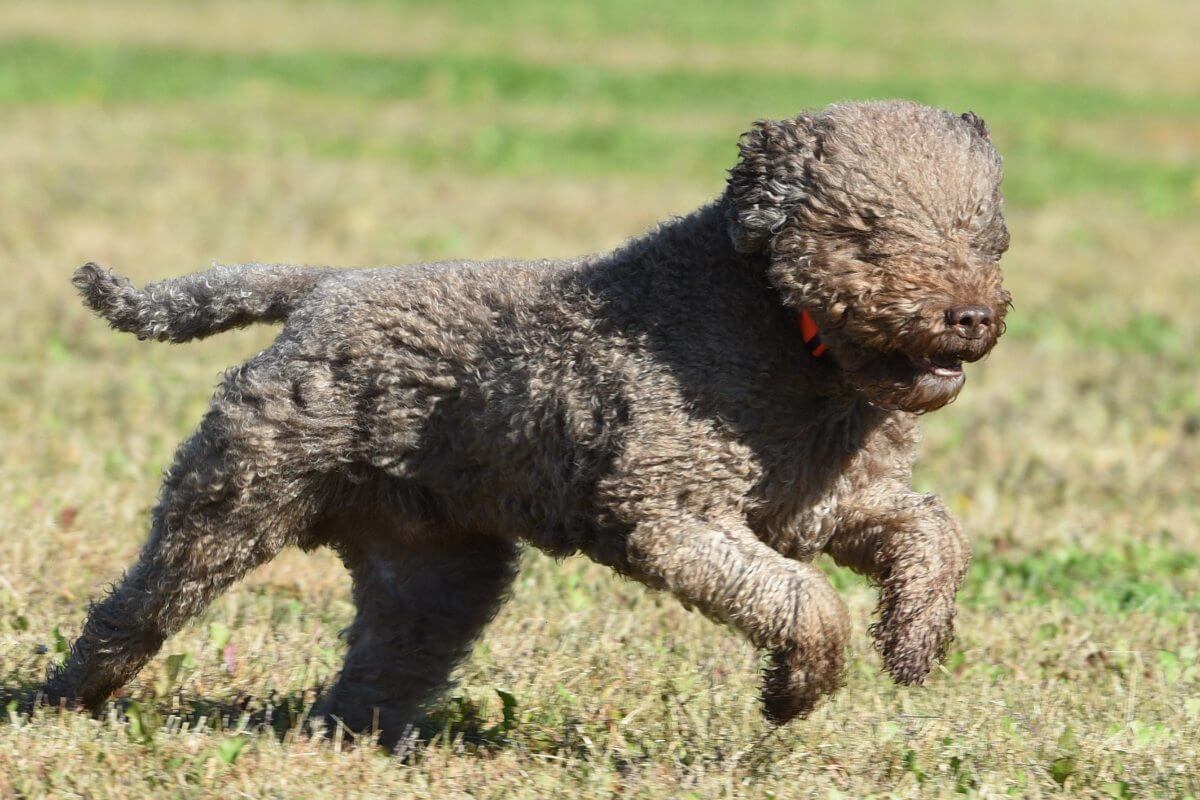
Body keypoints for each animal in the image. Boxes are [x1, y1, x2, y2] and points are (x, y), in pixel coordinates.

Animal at [42, 100, 1008, 743]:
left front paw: (916, 641)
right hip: (234, 496)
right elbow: (803, 600)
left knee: (387, 657)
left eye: (983, 233)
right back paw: (62, 699)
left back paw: (346, 740)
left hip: (435, 567)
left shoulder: (832, 504)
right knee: (137, 608)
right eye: (869, 235)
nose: (968, 316)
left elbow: (934, 533)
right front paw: (794, 691)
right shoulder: (670, 512)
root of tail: (324, 287)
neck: (785, 334)